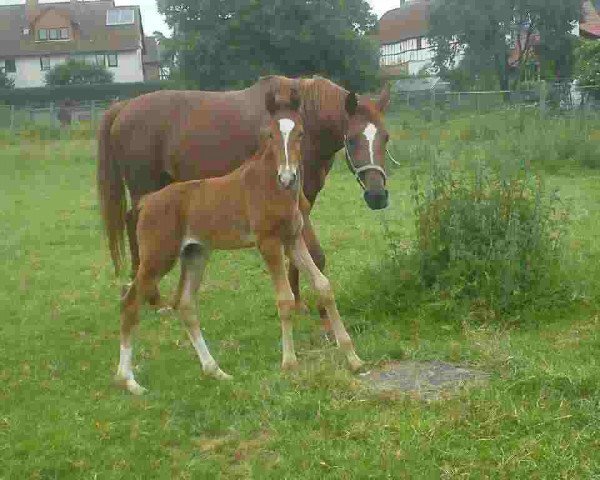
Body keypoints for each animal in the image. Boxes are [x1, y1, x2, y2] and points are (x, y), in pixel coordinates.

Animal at [115, 89, 364, 394]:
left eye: (301, 133)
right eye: (270, 134)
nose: (287, 176)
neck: (271, 186)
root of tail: (148, 202)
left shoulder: (293, 240)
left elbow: (323, 286)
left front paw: (353, 358)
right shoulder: (268, 243)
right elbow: (284, 299)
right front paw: (289, 363)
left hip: (195, 254)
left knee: (185, 304)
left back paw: (215, 371)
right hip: (157, 259)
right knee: (130, 303)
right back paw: (129, 381)